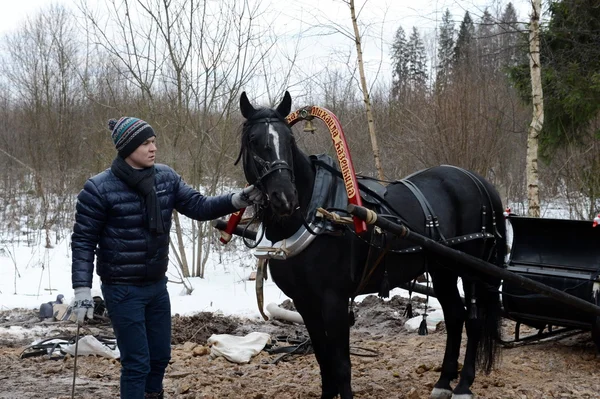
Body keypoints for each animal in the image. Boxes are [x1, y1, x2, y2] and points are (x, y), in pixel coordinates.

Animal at [237, 91, 504, 399]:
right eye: (253, 140)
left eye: (289, 140)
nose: (285, 197)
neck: (317, 212)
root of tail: (477, 181)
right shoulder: (305, 302)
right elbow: (323, 359)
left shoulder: (334, 300)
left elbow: (341, 364)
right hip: (442, 269)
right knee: (454, 315)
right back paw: (443, 381)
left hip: (471, 268)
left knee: (473, 320)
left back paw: (463, 384)